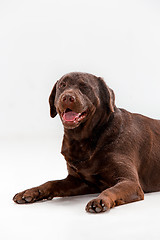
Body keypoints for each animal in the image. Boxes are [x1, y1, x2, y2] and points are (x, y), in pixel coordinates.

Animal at [12, 72, 160, 213]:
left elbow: (110, 190)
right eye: (62, 85)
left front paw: (100, 200)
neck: (83, 140)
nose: (67, 97)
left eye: (85, 87)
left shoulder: (130, 182)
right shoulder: (80, 181)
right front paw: (31, 191)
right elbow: (52, 182)